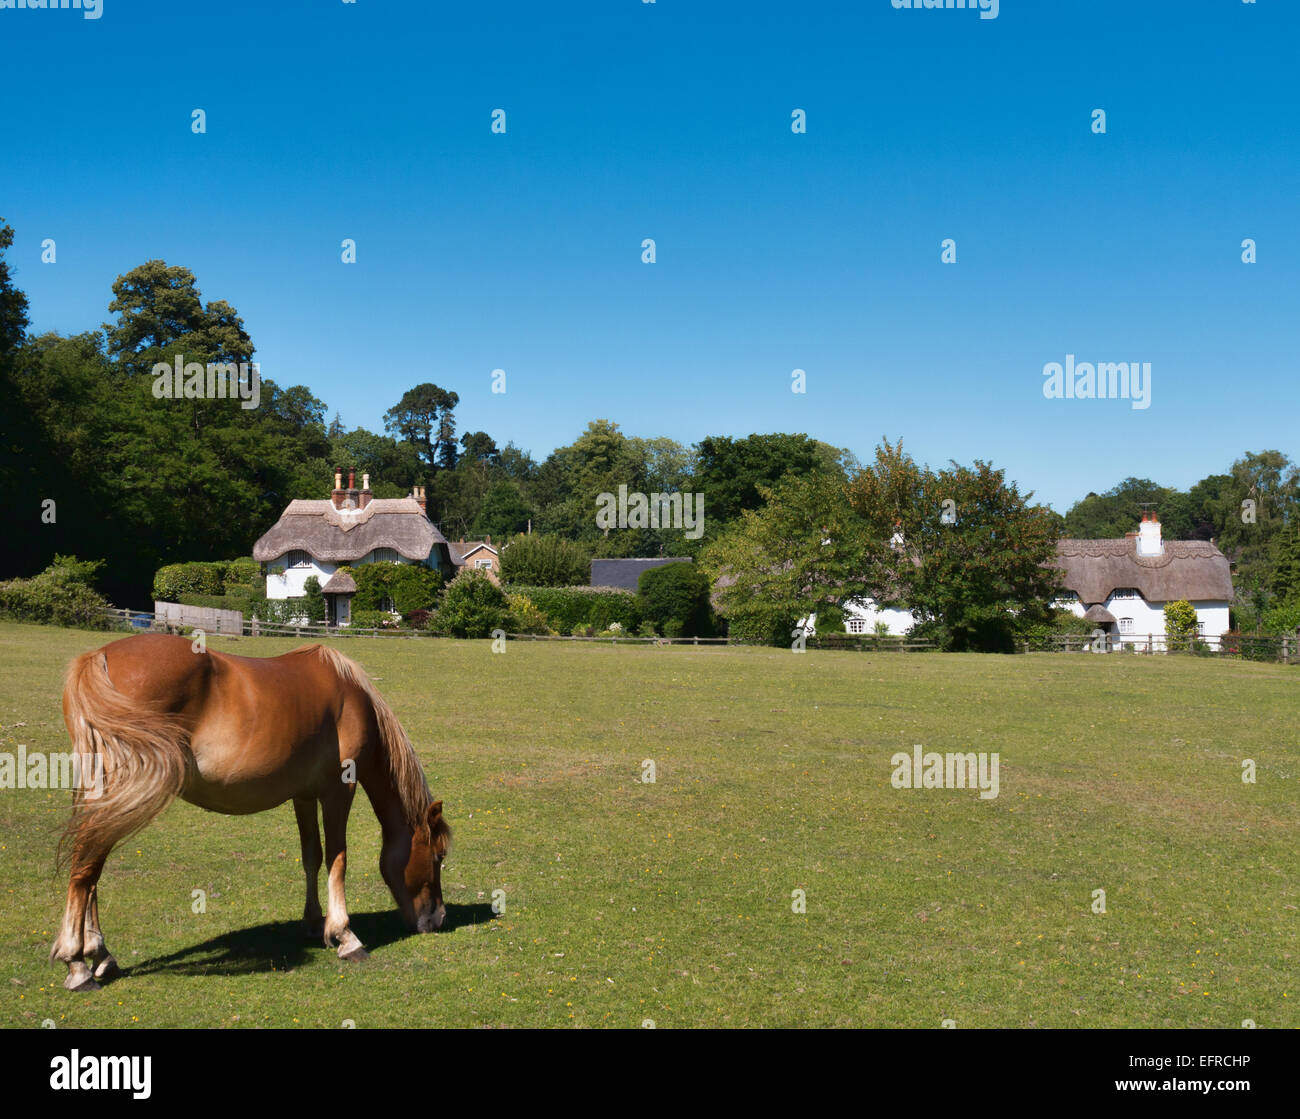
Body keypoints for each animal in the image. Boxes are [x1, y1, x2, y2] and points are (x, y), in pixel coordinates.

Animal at [50, 634, 449, 992]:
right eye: (439, 857)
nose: (438, 918)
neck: (349, 695)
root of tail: (99, 656)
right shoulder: (340, 790)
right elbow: (339, 858)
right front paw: (346, 936)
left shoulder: (304, 796)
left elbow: (313, 856)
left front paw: (313, 921)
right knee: (86, 864)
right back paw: (77, 964)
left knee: (90, 867)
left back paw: (99, 954)